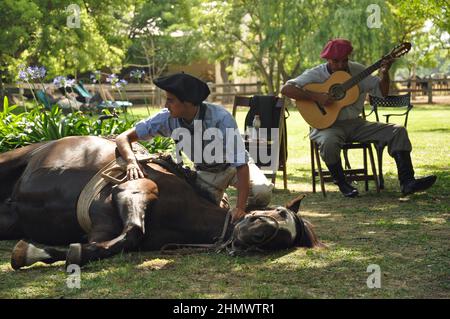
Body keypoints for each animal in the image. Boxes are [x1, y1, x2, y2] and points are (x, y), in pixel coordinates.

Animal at [0, 136, 324, 272]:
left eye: (280, 241)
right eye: (279, 212)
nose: (260, 229)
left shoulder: (100, 229)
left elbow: (114, 243)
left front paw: (37, 252)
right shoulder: (133, 188)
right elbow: (133, 228)